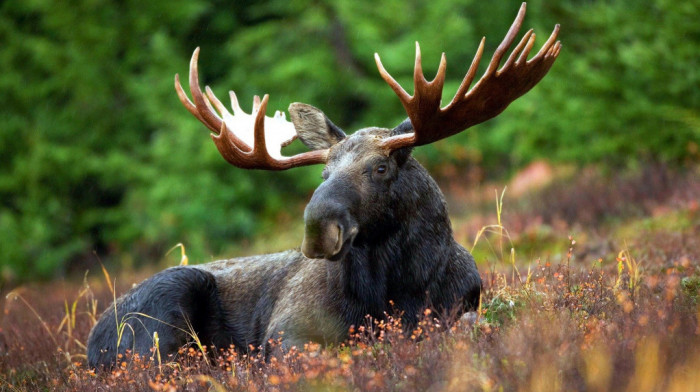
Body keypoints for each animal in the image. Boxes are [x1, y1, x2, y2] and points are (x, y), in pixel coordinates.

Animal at [87, 3, 560, 368]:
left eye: (380, 168)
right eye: (323, 173)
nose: (318, 228)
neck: (397, 289)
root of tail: (91, 343)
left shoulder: (462, 307)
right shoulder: (286, 332)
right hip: (163, 311)